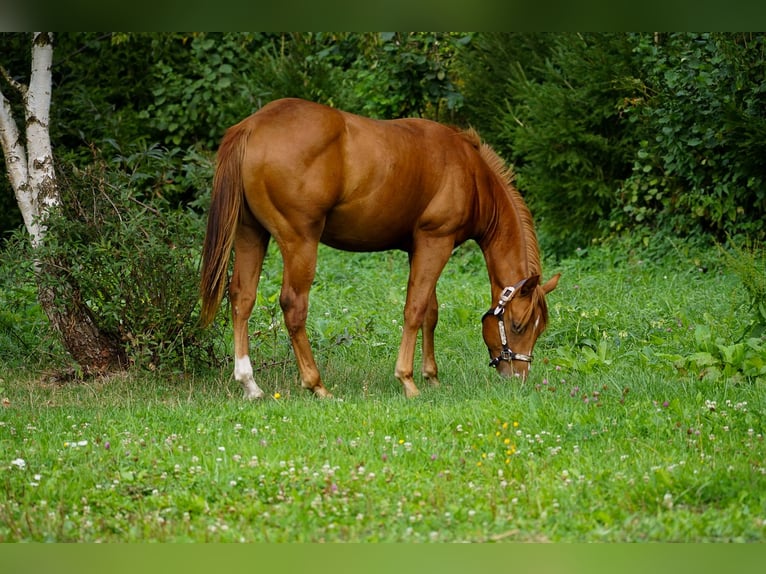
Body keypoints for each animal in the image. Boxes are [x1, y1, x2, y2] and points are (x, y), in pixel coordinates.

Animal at [199, 98, 559, 399]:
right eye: (518, 326)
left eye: (539, 327)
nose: (518, 376)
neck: (471, 174)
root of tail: (252, 126)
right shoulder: (436, 241)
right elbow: (414, 310)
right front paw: (408, 379)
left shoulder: (419, 248)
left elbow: (430, 312)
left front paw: (432, 376)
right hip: (299, 241)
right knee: (293, 305)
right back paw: (316, 385)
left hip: (251, 234)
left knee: (242, 297)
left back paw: (250, 384)